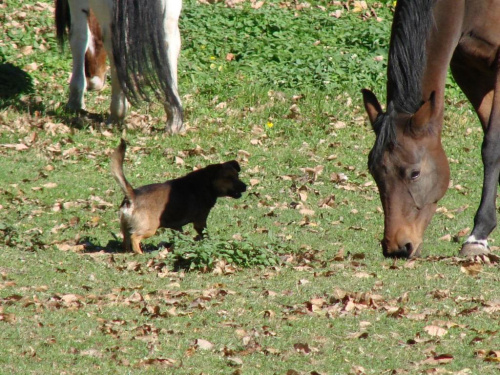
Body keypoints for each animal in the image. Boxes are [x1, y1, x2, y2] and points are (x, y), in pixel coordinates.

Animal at [55, 0, 184, 134]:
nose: (94, 81)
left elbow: (79, 36)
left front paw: (75, 101)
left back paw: (116, 115)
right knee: (169, 37)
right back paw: (174, 118)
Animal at [111, 140, 248, 254]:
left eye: (237, 176)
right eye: (229, 178)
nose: (245, 186)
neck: (207, 183)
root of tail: (133, 195)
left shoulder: (177, 226)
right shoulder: (200, 221)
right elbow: (205, 235)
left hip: (125, 226)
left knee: (126, 240)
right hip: (149, 228)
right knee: (134, 238)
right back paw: (141, 254)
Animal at [362, 0, 500, 258]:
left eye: (414, 173)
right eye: (374, 173)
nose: (397, 247)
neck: (469, 7)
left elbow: (492, 146)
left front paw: (478, 236)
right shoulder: (467, 66)